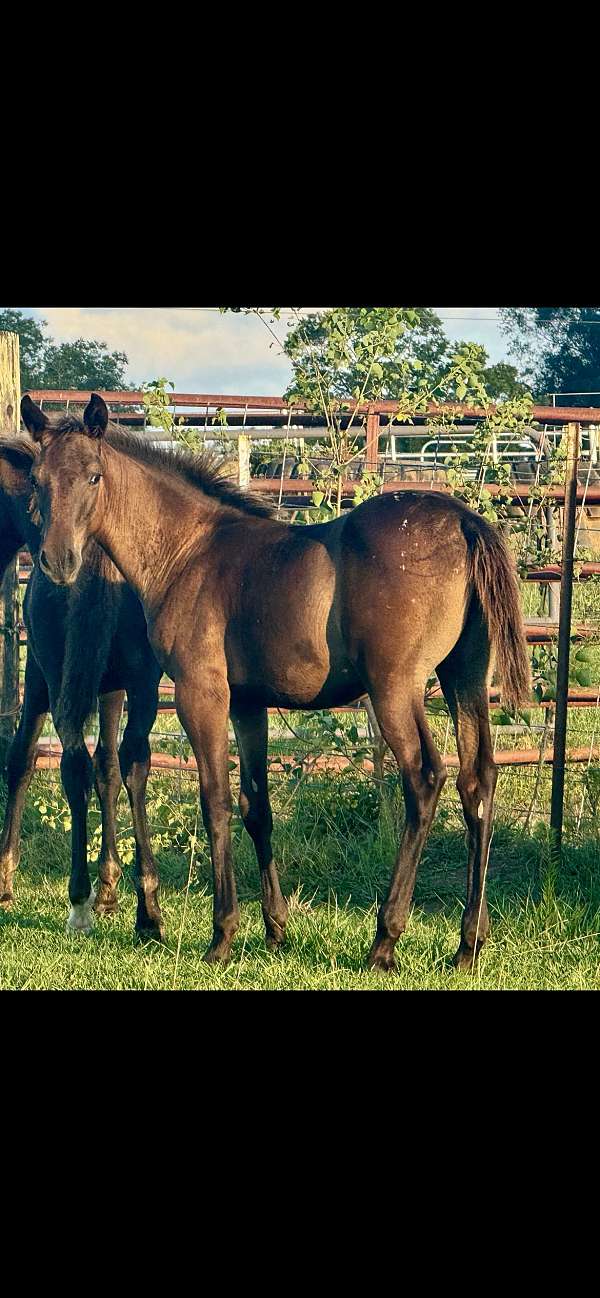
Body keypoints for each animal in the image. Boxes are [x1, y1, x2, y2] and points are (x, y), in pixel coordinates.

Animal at [31, 394, 529, 976]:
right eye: (38, 479)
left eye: (93, 475)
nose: (58, 561)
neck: (186, 550)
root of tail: (465, 520)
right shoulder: (248, 704)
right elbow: (256, 807)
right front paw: (275, 930)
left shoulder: (202, 694)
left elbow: (216, 801)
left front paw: (222, 935)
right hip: (464, 678)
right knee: (479, 781)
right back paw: (468, 943)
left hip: (395, 688)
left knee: (426, 779)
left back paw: (385, 940)